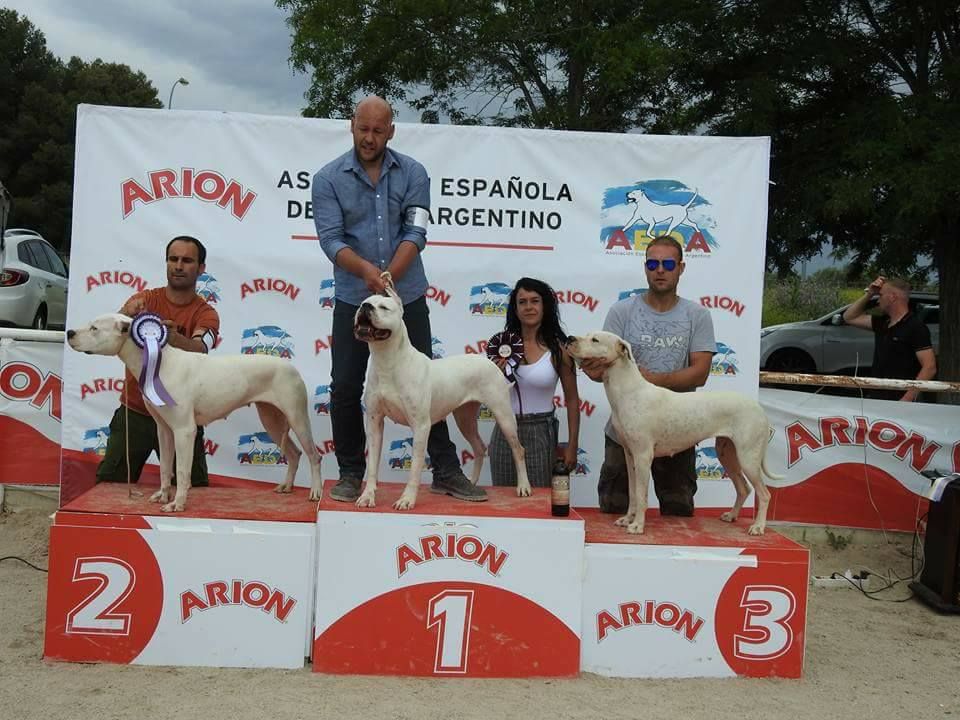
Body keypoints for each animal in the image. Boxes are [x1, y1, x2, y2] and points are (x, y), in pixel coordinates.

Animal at [67, 316, 324, 512]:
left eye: (94, 328)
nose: (69, 332)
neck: (158, 364)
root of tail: (291, 366)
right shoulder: (164, 430)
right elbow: (165, 468)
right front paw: (163, 495)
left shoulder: (184, 431)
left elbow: (181, 471)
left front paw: (177, 504)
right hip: (272, 420)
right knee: (294, 453)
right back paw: (286, 487)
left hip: (297, 417)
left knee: (314, 455)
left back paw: (316, 491)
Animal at [568, 332, 780, 536]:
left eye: (595, 339)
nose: (569, 339)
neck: (629, 392)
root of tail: (760, 409)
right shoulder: (630, 455)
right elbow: (633, 493)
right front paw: (628, 519)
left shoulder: (643, 456)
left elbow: (641, 495)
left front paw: (637, 526)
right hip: (727, 454)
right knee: (744, 488)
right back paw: (732, 516)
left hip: (748, 457)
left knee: (764, 494)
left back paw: (758, 527)